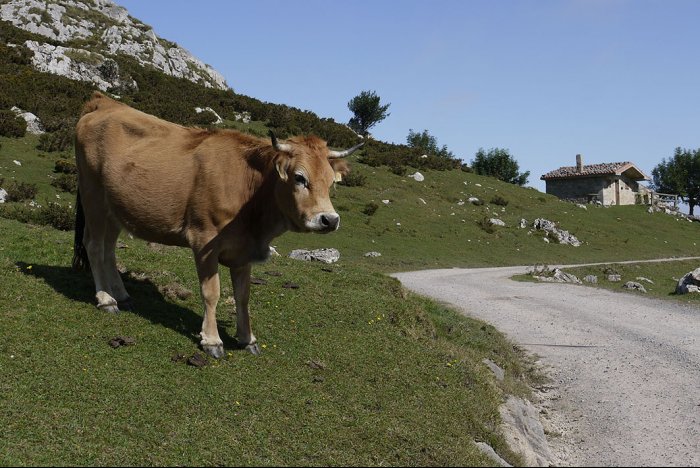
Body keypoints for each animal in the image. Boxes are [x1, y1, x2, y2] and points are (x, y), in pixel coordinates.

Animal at [72, 92, 363, 358]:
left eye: (331, 181)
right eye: (300, 178)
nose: (329, 219)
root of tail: (103, 102)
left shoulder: (244, 249)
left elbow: (243, 295)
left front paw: (247, 338)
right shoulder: (204, 241)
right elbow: (211, 292)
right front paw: (212, 340)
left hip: (115, 209)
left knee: (108, 249)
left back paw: (121, 295)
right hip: (92, 196)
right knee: (94, 245)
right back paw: (106, 300)